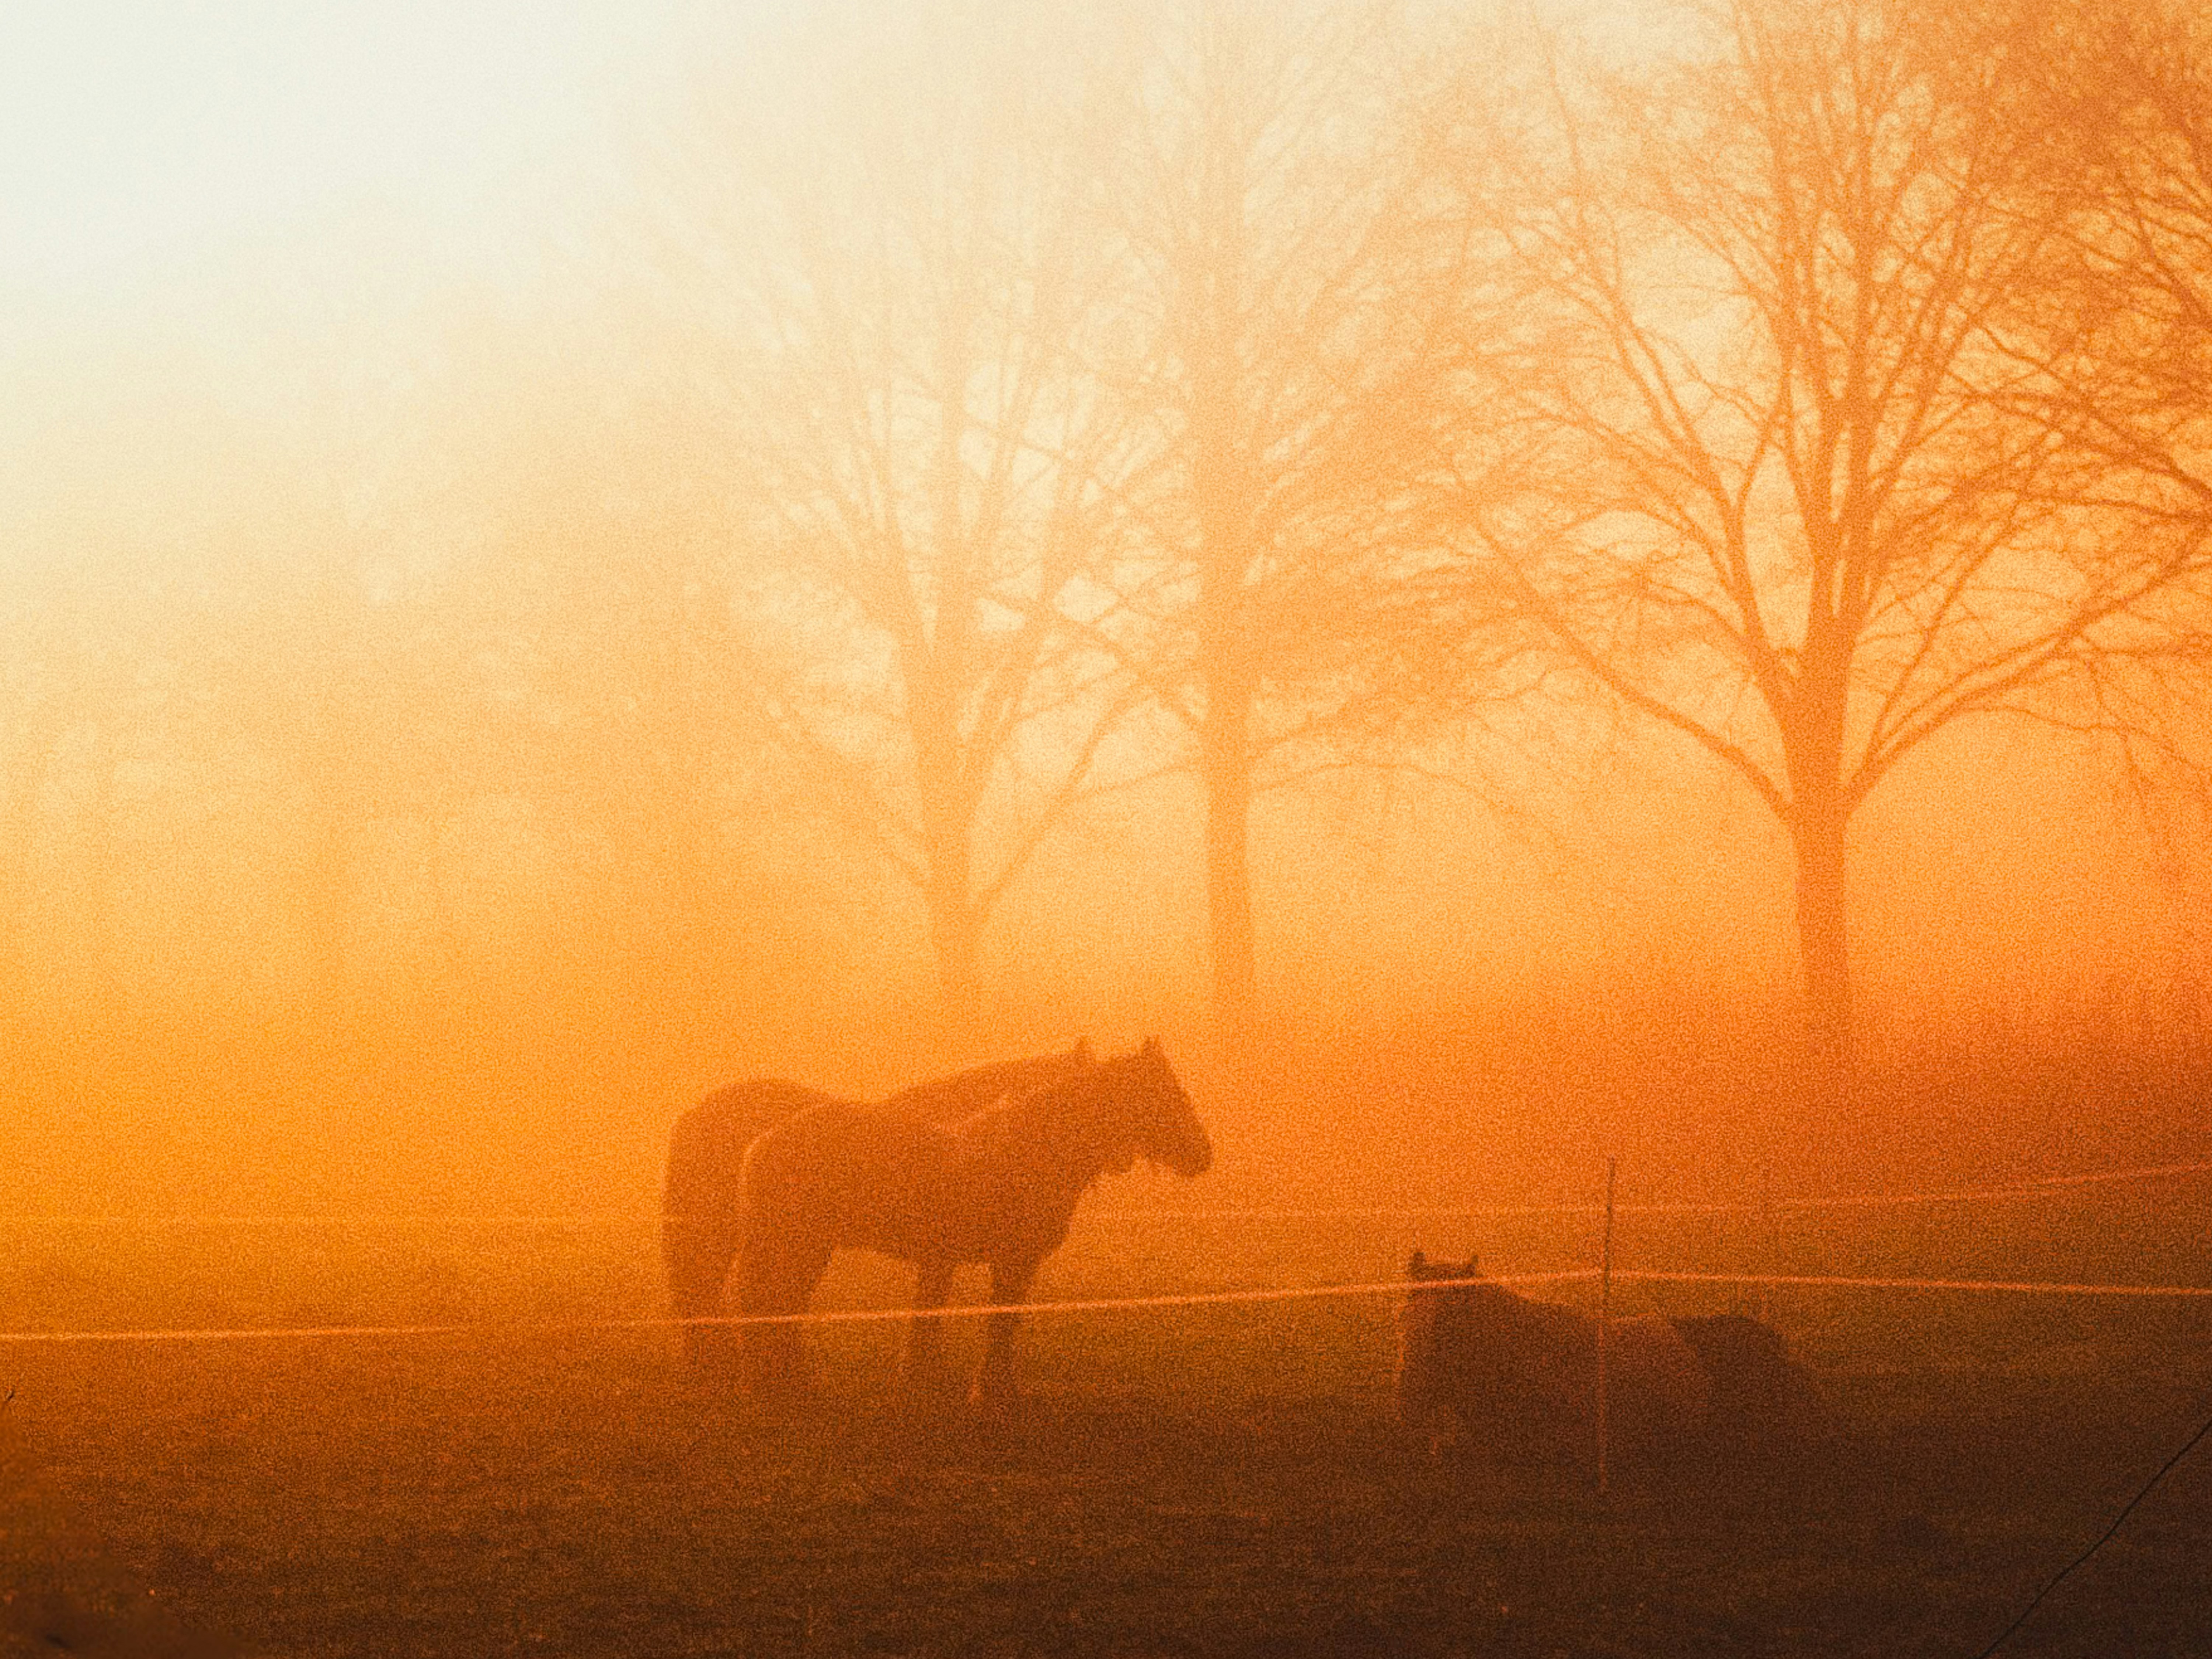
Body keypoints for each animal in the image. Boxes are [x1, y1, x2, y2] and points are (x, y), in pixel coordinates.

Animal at [733, 1037, 1211, 1410]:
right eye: (1165, 1095)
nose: (1203, 1155)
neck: (1034, 1150)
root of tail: (761, 1144)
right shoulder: (1012, 1262)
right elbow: (999, 1322)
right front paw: (992, 1390)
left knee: (781, 1306)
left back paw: (787, 1384)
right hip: (798, 1247)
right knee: (773, 1303)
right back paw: (780, 1386)